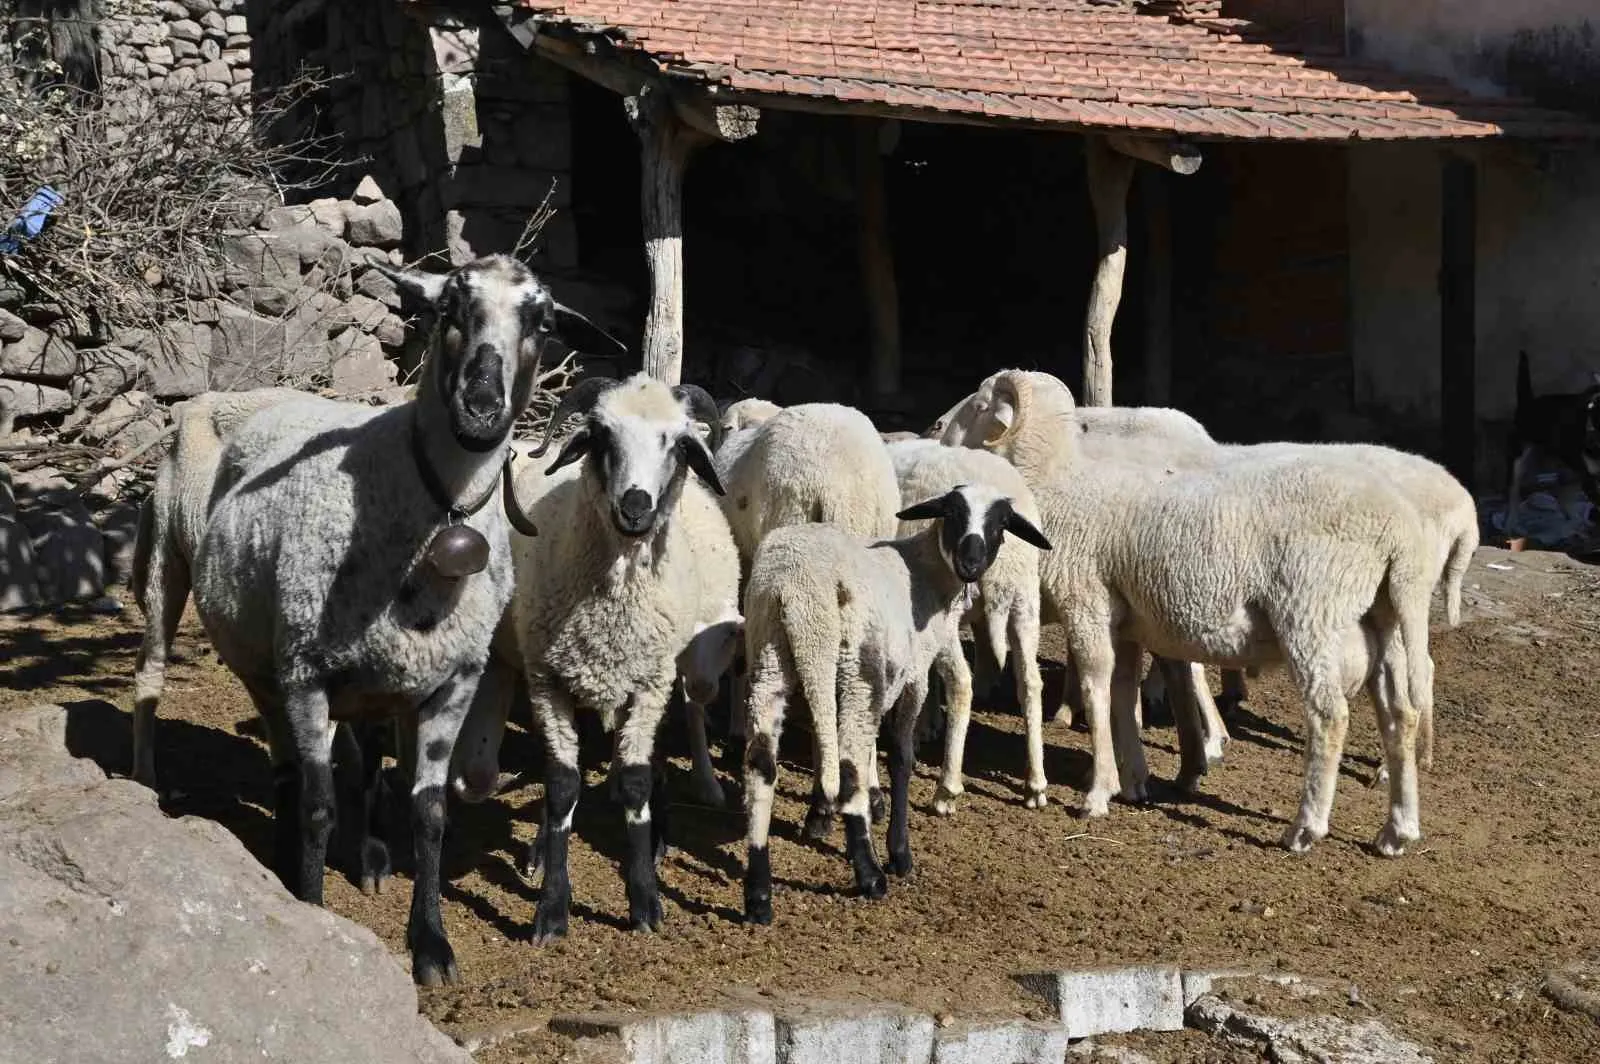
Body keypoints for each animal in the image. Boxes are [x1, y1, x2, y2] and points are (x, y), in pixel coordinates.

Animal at [180, 252, 617, 985]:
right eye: (449, 308)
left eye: (543, 321)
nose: (481, 408)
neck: (439, 509)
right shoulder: (306, 673)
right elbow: (319, 807)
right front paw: (311, 908)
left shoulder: (454, 681)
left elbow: (431, 812)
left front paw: (431, 944)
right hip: (265, 671)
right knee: (290, 775)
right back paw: (286, 859)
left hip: (375, 682)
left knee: (366, 762)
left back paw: (372, 857)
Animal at [508, 371, 732, 940]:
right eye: (601, 436)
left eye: (678, 443)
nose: (635, 508)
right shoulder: (547, 679)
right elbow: (561, 784)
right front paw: (551, 906)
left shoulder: (649, 682)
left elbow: (634, 782)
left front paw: (645, 900)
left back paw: (659, 838)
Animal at [742, 483, 1056, 921]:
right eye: (953, 513)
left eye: (1001, 524)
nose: (971, 563)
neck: (925, 571)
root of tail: (798, 592)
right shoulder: (914, 677)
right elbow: (902, 759)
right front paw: (899, 850)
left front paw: (834, 812)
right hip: (858, 669)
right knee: (848, 764)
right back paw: (871, 874)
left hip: (770, 655)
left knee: (762, 765)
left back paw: (758, 894)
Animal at [883, 438, 1056, 812]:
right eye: (951, 514)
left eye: (1001, 523)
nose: (969, 563)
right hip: (1021, 605)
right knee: (1028, 682)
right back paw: (1035, 783)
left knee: (969, 683)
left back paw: (949, 785)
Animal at [940, 368, 1446, 857]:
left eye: (980, 405)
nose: (934, 428)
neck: (1059, 479)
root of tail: (1399, 533)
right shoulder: (1126, 618)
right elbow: (1122, 691)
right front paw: (1134, 781)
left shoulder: (1086, 600)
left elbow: (1096, 686)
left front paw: (1098, 793)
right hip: (1382, 621)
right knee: (1400, 714)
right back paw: (1398, 832)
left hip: (1312, 614)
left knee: (1330, 715)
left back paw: (1306, 828)